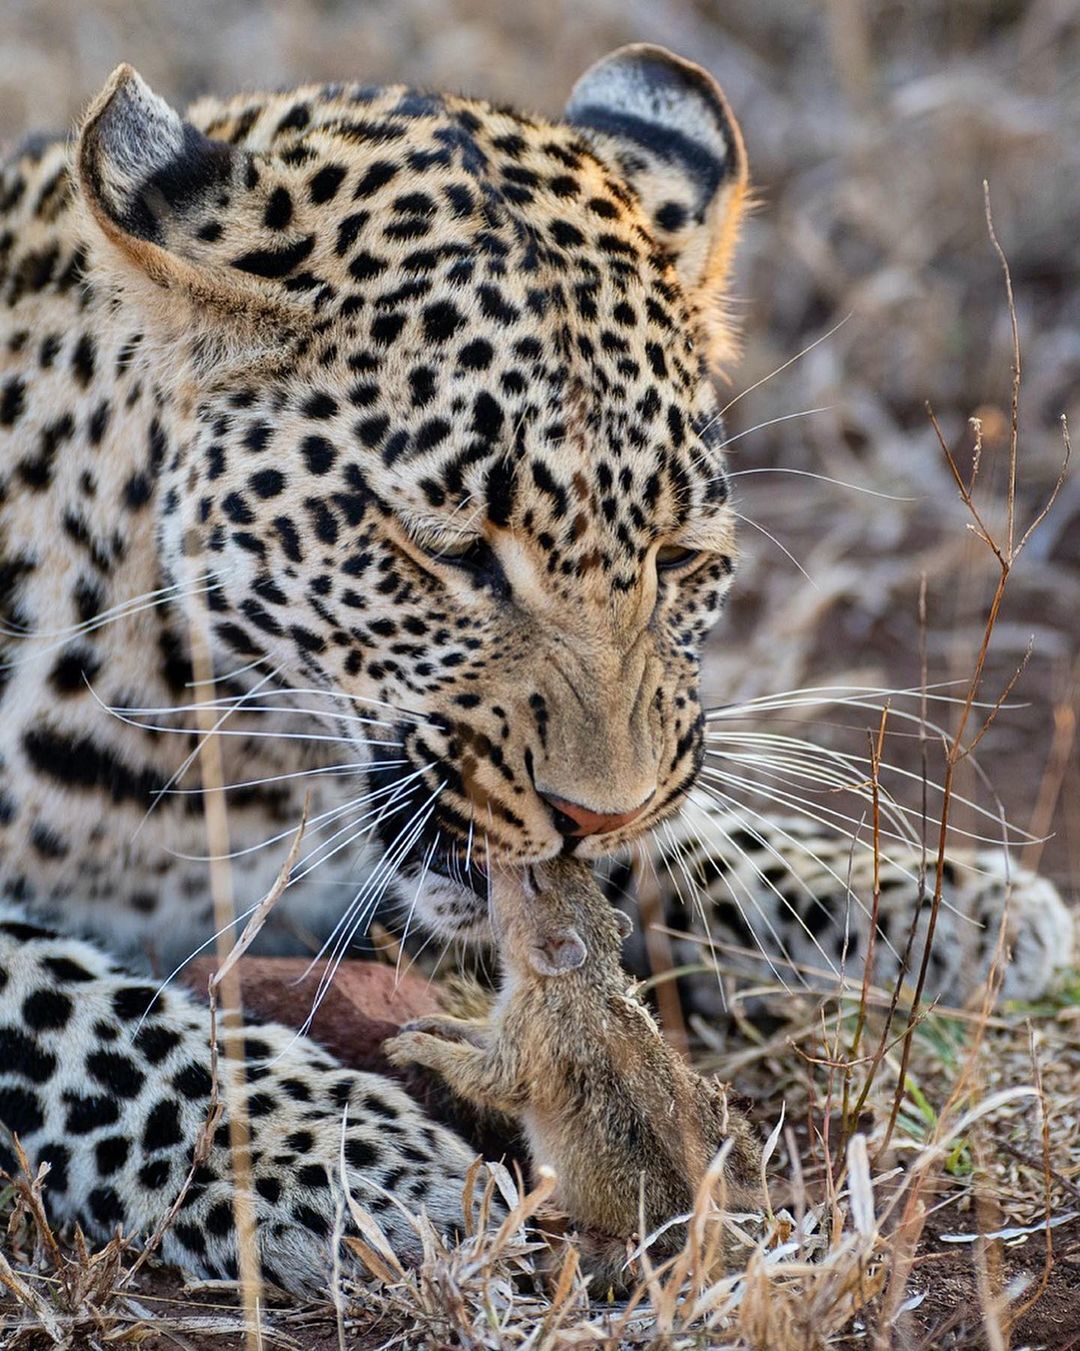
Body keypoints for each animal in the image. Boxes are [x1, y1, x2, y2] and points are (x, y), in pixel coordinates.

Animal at [0, 44, 1070, 1296]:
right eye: (457, 550)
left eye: (678, 556)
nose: (591, 816)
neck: (216, 718)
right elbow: (93, 1022)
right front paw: (344, 1160)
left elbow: (680, 842)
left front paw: (938, 900)